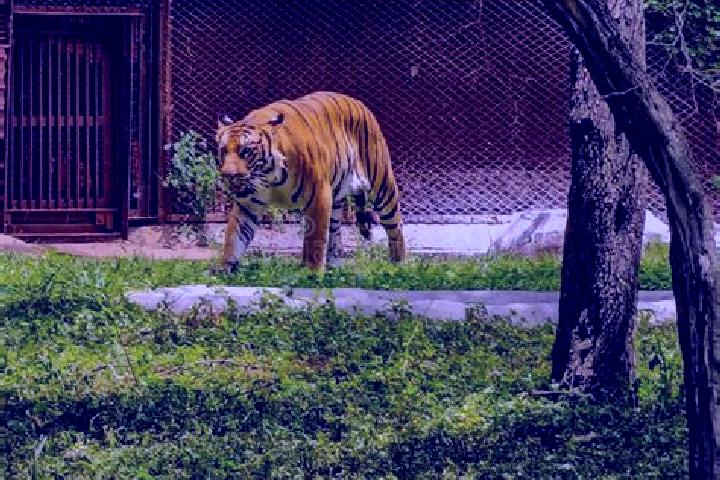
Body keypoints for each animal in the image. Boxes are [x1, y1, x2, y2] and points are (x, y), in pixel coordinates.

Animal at [215, 91, 406, 272]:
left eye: (246, 151)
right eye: (224, 151)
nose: (228, 175)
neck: (268, 176)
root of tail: (360, 104)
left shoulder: (318, 197)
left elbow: (316, 240)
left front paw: (313, 273)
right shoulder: (248, 203)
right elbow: (235, 236)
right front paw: (224, 269)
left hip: (383, 186)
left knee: (395, 227)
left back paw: (399, 265)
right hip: (336, 198)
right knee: (335, 232)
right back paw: (333, 266)